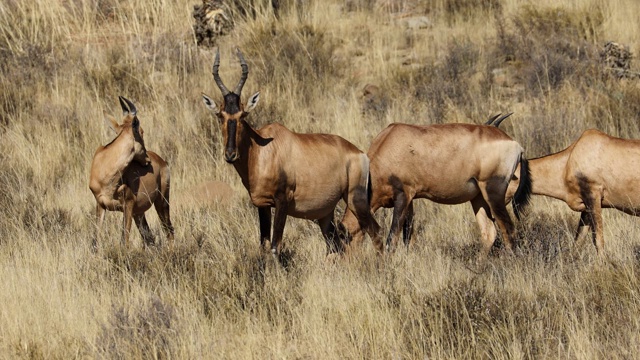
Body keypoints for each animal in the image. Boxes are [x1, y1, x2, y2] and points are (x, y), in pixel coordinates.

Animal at [90, 96, 174, 248]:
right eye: (141, 131)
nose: (147, 160)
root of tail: (162, 161)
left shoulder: (128, 205)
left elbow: (124, 240)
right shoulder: (100, 204)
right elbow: (95, 240)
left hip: (162, 201)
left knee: (169, 231)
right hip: (139, 213)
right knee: (150, 238)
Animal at [201, 48, 380, 258]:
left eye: (242, 115)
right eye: (220, 115)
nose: (230, 154)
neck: (262, 149)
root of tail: (360, 154)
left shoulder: (282, 201)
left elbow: (275, 247)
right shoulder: (262, 204)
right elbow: (264, 245)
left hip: (356, 199)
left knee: (376, 232)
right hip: (325, 213)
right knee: (336, 244)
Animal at [342, 119, 532, 260]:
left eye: (344, 236)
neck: (390, 142)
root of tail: (516, 144)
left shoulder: (402, 196)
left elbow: (392, 239)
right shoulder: (410, 199)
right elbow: (408, 238)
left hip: (494, 192)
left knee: (509, 230)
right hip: (478, 197)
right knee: (489, 232)